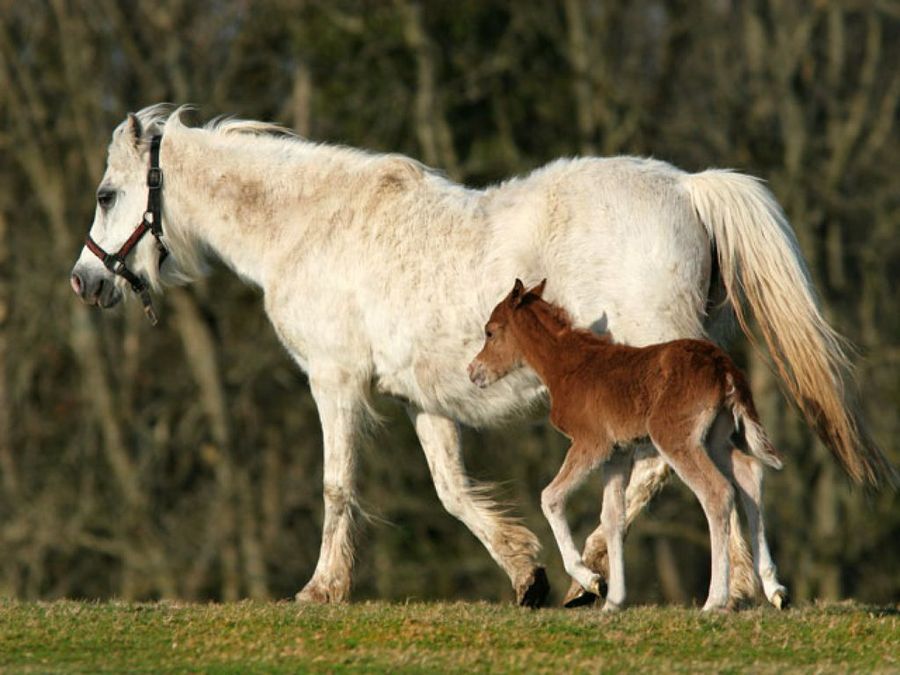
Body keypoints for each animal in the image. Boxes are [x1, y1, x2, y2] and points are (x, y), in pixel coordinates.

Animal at [469, 279, 788, 611]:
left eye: (490, 331)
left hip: (674, 437)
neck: (568, 365)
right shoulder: (617, 452)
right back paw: (775, 589)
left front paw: (592, 581)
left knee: (718, 492)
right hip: (715, 437)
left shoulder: (592, 443)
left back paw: (715, 599)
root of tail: (724, 367)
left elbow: (551, 497)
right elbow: (613, 517)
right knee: (749, 473)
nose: (474, 371)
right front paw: (613, 601)